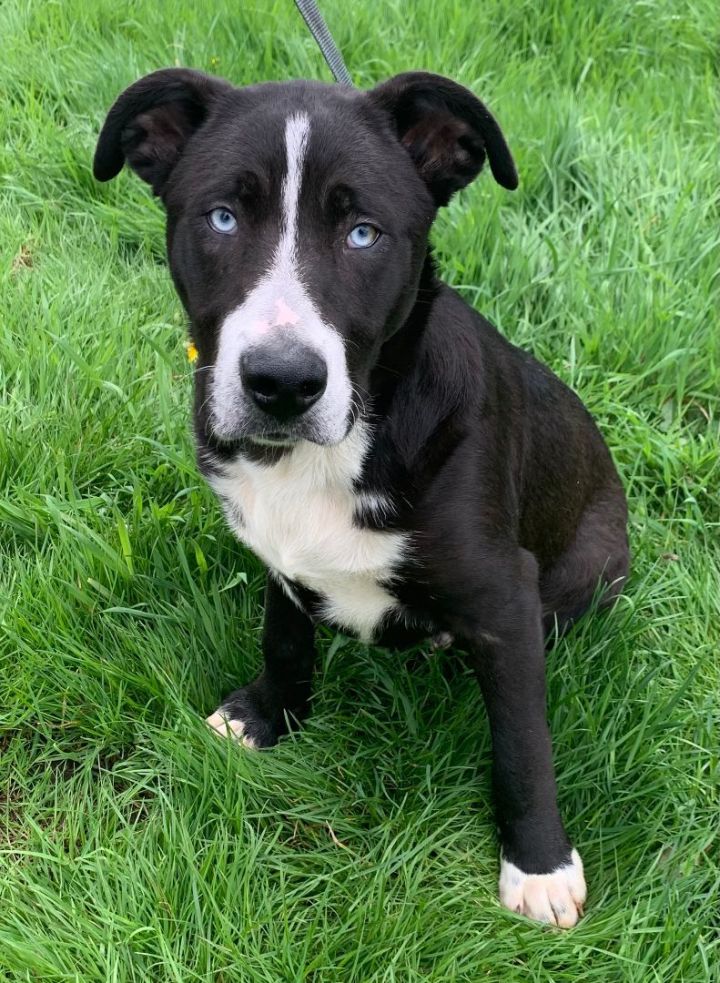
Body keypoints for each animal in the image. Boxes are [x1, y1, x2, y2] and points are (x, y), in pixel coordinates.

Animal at [94, 65, 632, 928]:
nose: (281, 383)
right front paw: (266, 716)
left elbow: (523, 742)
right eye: (221, 218)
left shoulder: (505, 595)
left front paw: (539, 864)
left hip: (589, 565)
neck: (334, 448)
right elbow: (283, 637)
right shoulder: (281, 555)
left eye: (363, 234)